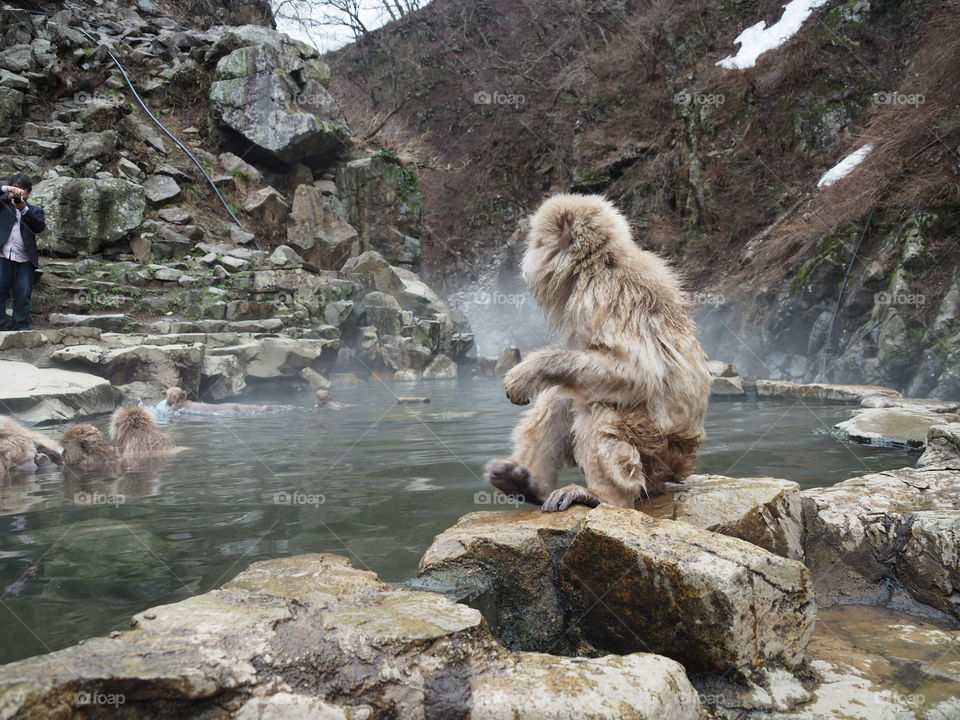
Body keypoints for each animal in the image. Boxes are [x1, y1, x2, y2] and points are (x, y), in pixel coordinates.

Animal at [484, 194, 711, 512]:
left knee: (600, 405)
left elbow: (637, 371)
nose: (524, 262)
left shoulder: (601, 295)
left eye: (535, 242)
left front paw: (529, 370)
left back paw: (604, 496)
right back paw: (524, 482)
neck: (596, 263)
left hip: (658, 451)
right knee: (566, 393)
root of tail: (683, 468)